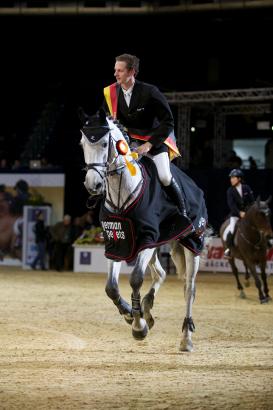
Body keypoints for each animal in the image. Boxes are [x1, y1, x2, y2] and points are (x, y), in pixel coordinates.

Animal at [79, 109, 207, 352]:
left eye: (103, 144)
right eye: (82, 144)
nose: (93, 186)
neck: (121, 192)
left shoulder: (148, 238)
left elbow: (136, 279)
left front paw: (138, 327)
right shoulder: (117, 241)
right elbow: (111, 288)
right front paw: (131, 314)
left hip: (191, 243)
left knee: (190, 288)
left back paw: (186, 338)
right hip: (161, 246)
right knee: (161, 273)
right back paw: (147, 308)